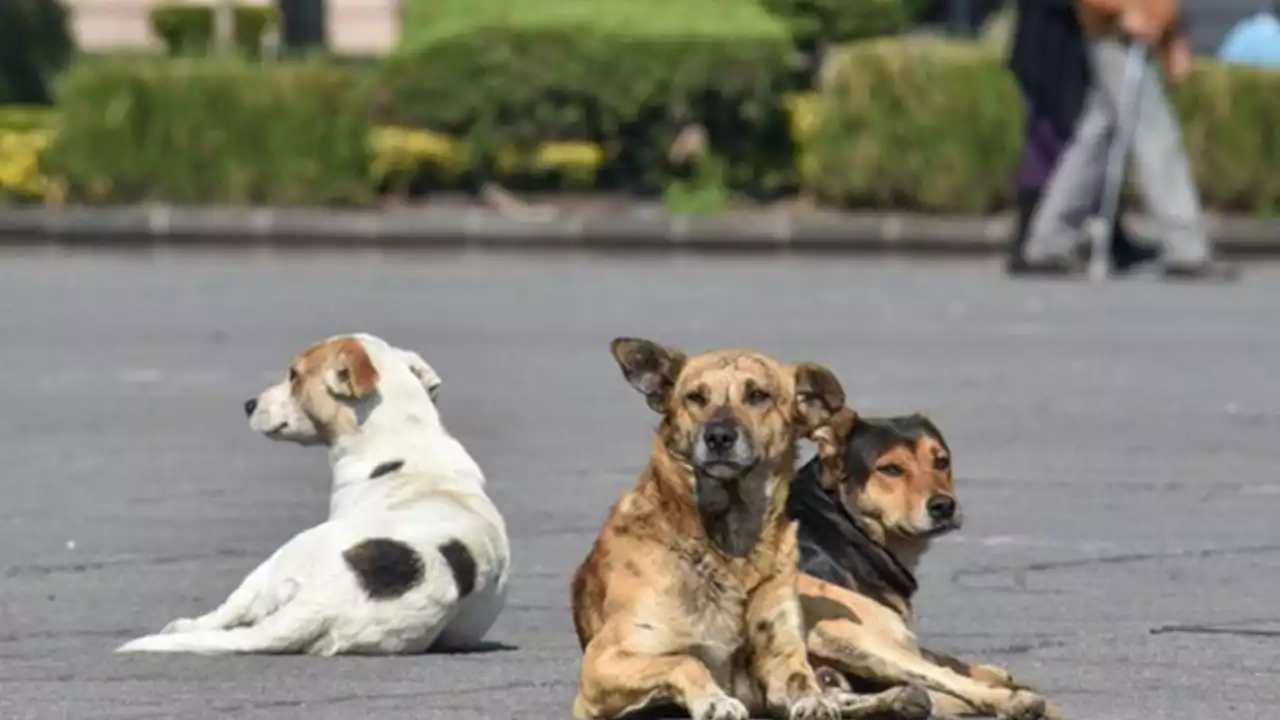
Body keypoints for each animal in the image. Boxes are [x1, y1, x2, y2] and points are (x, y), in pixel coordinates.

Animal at [573, 335, 870, 717]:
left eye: (758, 395)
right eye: (695, 397)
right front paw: (714, 700)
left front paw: (816, 699)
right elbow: (685, 660)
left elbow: (799, 678)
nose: (718, 437)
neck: (729, 546)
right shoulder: (603, 662)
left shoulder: (779, 652)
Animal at [788, 409, 1059, 717]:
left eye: (941, 461)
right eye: (891, 469)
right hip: (846, 635)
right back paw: (1014, 701)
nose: (944, 506)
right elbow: (942, 668)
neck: (841, 522)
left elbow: (941, 658)